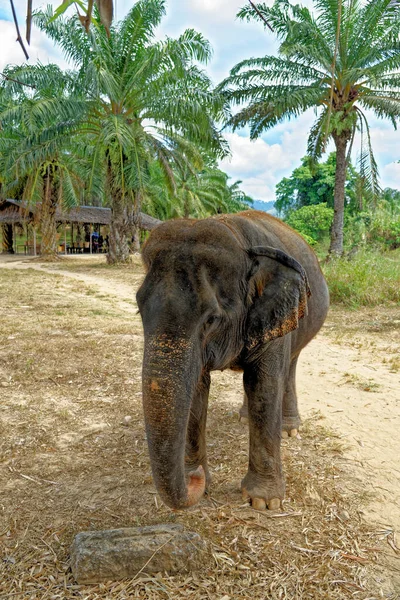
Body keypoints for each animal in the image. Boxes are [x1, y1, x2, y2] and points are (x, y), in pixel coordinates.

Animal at [136, 210, 330, 510]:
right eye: (138, 309)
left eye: (212, 319)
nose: (194, 477)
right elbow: (197, 388)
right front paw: (202, 480)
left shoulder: (273, 314)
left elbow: (264, 385)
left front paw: (263, 502)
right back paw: (244, 417)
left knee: (289, 367)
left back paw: (289, 430)